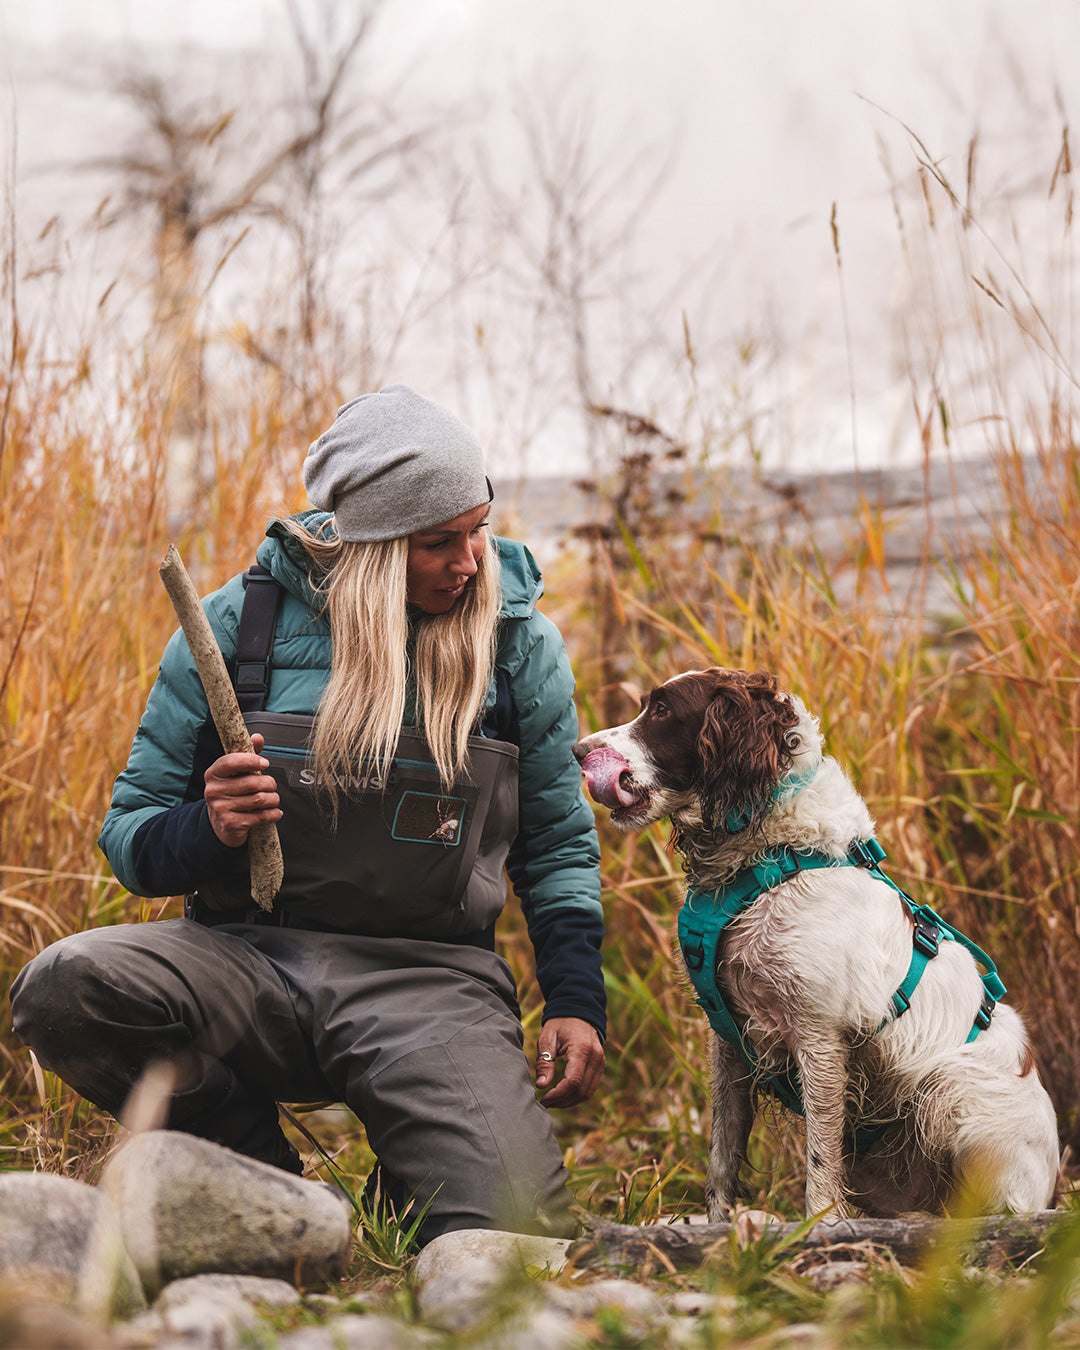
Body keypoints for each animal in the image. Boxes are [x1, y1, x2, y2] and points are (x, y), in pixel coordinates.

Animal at [577, 669, 1058, 1220]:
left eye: (661, 711)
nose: (578, 750)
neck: (773, 858)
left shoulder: (820, 1038)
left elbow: (821, 1168)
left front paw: (815, 1227)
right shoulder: (729, 1040)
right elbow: (721, 1158)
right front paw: (717, 1230)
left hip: (949, 1086)